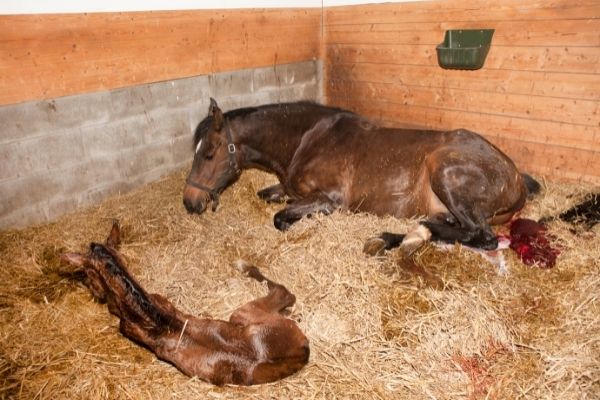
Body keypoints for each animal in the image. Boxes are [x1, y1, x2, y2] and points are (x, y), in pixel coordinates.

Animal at [62, 220, 310, 386]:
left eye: (87, 275)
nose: (95, 293)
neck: (152, 318)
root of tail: (303, 350)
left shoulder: (125, 325)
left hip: (240, 313)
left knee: (284, 291)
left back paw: (243, 265)